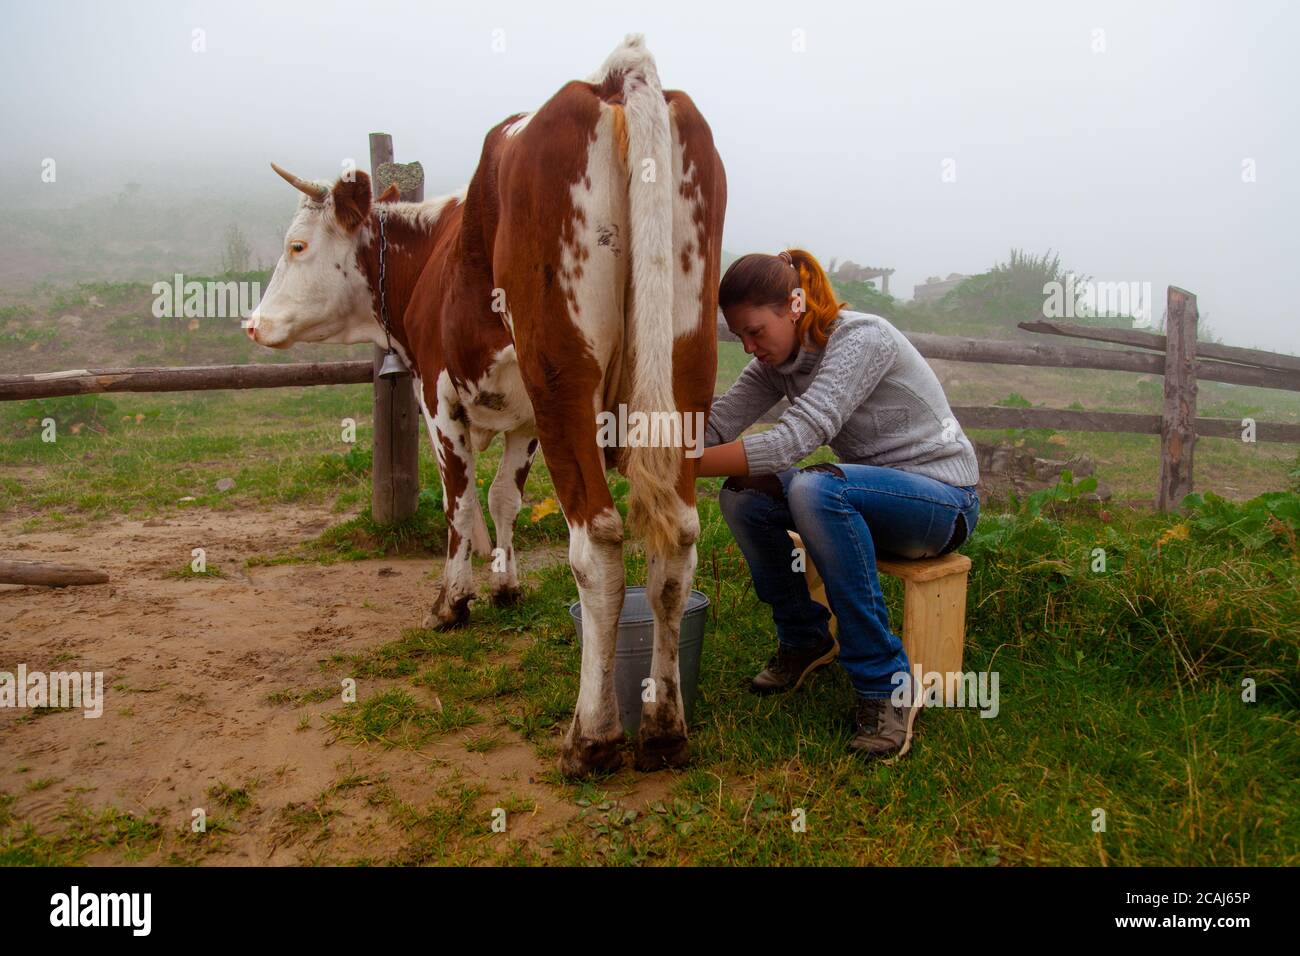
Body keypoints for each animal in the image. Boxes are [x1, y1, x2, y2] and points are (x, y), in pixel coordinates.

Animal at [246, 34, 727, 778]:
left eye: (297, 245)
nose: (252, 323)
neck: (434, 252)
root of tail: (611, 79)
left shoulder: (439, 394)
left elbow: (459, 501)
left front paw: (453, 601)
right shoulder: (520, 417)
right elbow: (502, 497)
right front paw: (504, 585)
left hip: (564, 376)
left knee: (599, 544)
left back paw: (593, 736)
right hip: (684, 371)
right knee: (675, 541)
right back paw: (663, 727)